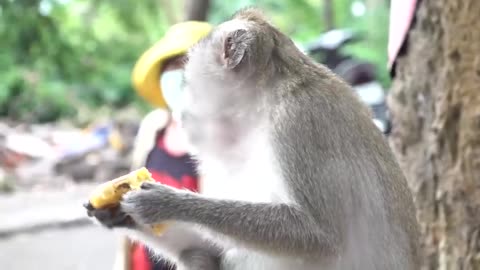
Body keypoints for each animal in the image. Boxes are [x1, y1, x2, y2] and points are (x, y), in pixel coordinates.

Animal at [86, 7, 420, 268]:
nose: (182, 114)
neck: (263, 107)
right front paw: (118, 213)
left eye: (187, 84)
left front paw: (167, 203)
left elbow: (320, 236)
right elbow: (209, 255)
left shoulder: (299, 122)